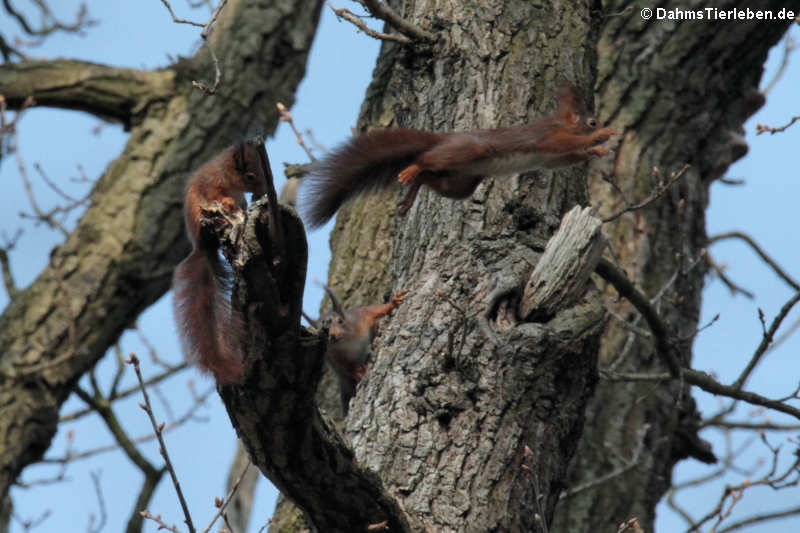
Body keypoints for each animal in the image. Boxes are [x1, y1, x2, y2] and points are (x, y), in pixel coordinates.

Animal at [170, 141, 268, 382]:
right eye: (250, 176)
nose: (262, 191)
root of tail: (202, 246)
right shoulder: (210, 185)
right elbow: (217, 195)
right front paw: (229, 202)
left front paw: (245, 205)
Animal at [300, 83, 620, 227]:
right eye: (591, 121)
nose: (599, 125)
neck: (558, 122)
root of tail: (447, 138)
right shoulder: (550, 138)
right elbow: (567, 146)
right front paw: (602, 136)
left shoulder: (550, 157)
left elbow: (565, 159)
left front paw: (597, 149)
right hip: (465, 151)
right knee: (423, 161)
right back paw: (410, 170)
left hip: (460, 183)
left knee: (430, 178)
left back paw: (409, 199)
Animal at [306, 284, 406, 414]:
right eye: (322, 332)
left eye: (340, 321)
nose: (333, 336)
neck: (348, 341)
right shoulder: (334, 357)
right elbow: (348, 367)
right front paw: (359, 372)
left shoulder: (362, 317)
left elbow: (376, 310)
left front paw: (393, 302)